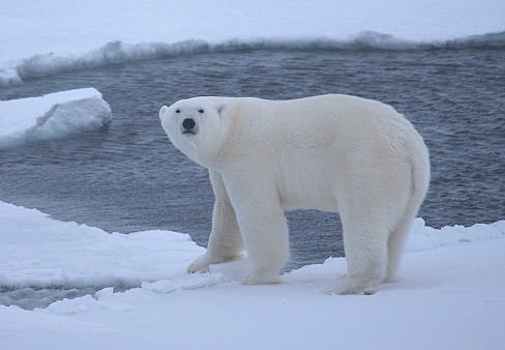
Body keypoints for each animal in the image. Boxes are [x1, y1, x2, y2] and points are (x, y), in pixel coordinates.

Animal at [158, 94, 430, 294]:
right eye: (178, 111)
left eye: (201, 110)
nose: (189, 123)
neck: (232, 129)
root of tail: (406, 142)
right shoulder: (221, 168)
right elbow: (227, 211)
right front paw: (201, 264)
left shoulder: (249, 157)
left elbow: (257, 212)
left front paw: (256, 277)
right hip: (411, 183)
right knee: (398, 229)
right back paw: (382, 276)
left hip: (365, 163)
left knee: (363, 219)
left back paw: (348, 283)